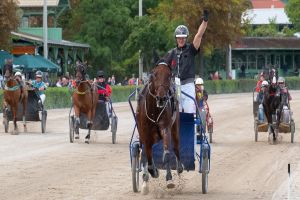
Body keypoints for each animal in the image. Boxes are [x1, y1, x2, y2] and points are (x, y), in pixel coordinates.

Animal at [136, 62, 183, 192]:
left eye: (169, 75)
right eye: (154, 74)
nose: (161, 98)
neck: (154, 111)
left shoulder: (165, 128)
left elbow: (166, 154)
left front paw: (169, 179)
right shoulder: (145, 134)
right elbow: (148, 158)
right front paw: (152, 173)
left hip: (175, 127)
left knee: (176, 147)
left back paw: (179, 167)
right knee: (144, 154)